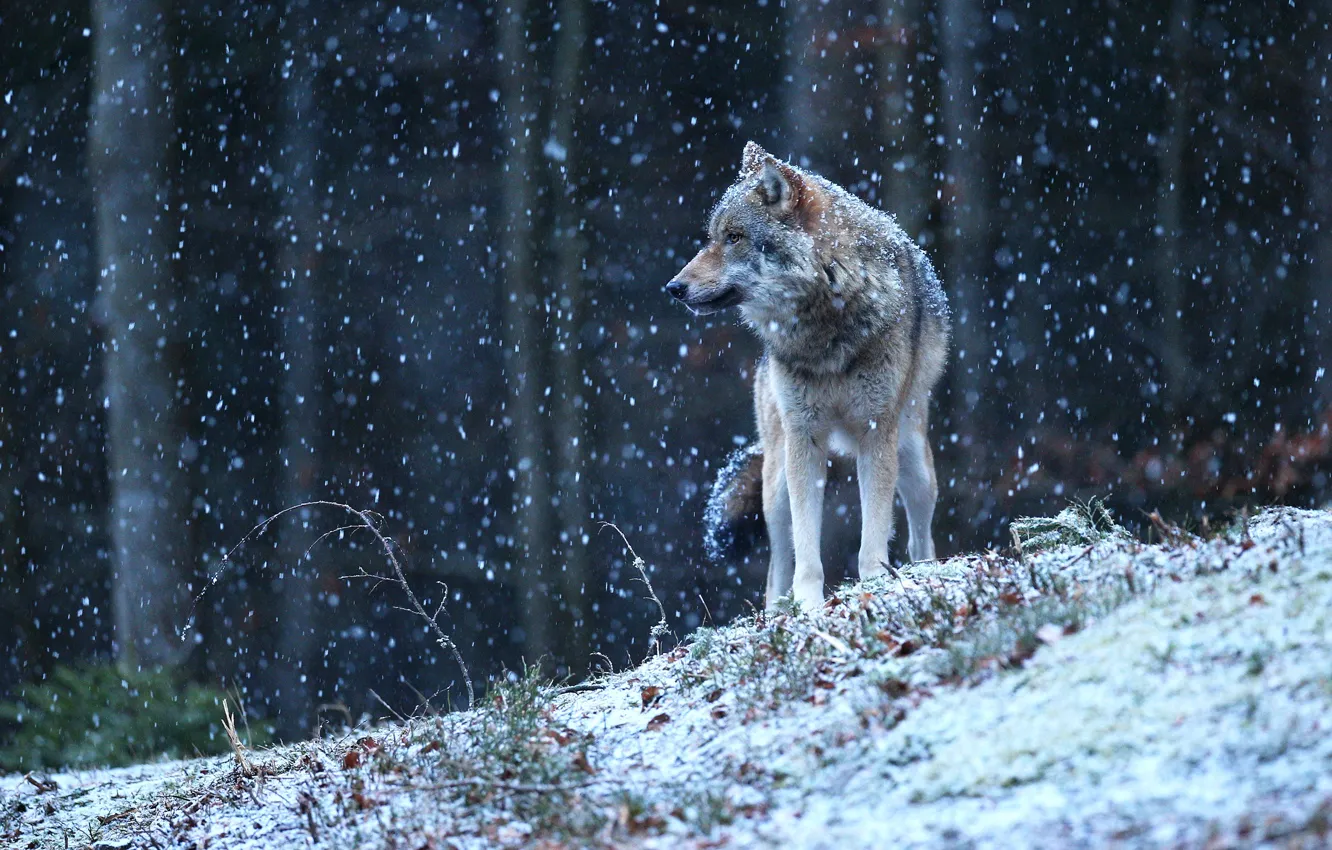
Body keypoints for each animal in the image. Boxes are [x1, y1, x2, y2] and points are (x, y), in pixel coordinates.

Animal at [668, 141, 950, 610]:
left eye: (734, 237)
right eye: (712, 237)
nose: (673, 288)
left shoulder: (876, 433)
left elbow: (873, 537)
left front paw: (874, 585)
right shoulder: (805, 438)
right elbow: (806, 549)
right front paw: (810, 605)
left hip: (914, 464)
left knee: (920, 539)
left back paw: (921, 573)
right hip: (776, 482)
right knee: (775, 568)